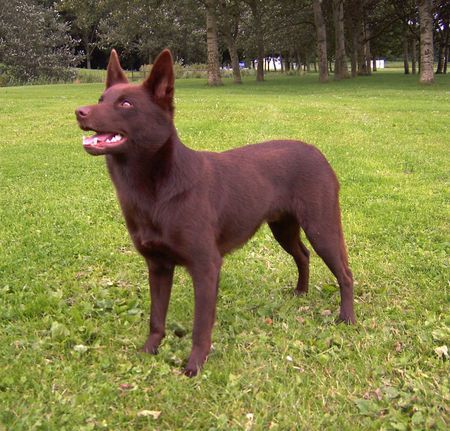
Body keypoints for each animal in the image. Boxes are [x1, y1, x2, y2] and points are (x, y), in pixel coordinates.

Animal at [74, 49, 356, 376]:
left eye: (126, 104)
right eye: (101, 98)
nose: (79, 112)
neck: (157, 187)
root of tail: (318, 153)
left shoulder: (206, 266)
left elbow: (201, 325)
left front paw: (194, 365)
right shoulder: (158, 266)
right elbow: (156, 318)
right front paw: (149, 351)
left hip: (322, 227)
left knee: (345, 273)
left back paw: (347, 318)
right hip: (283, 227)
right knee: (303, 255)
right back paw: (301, 292)